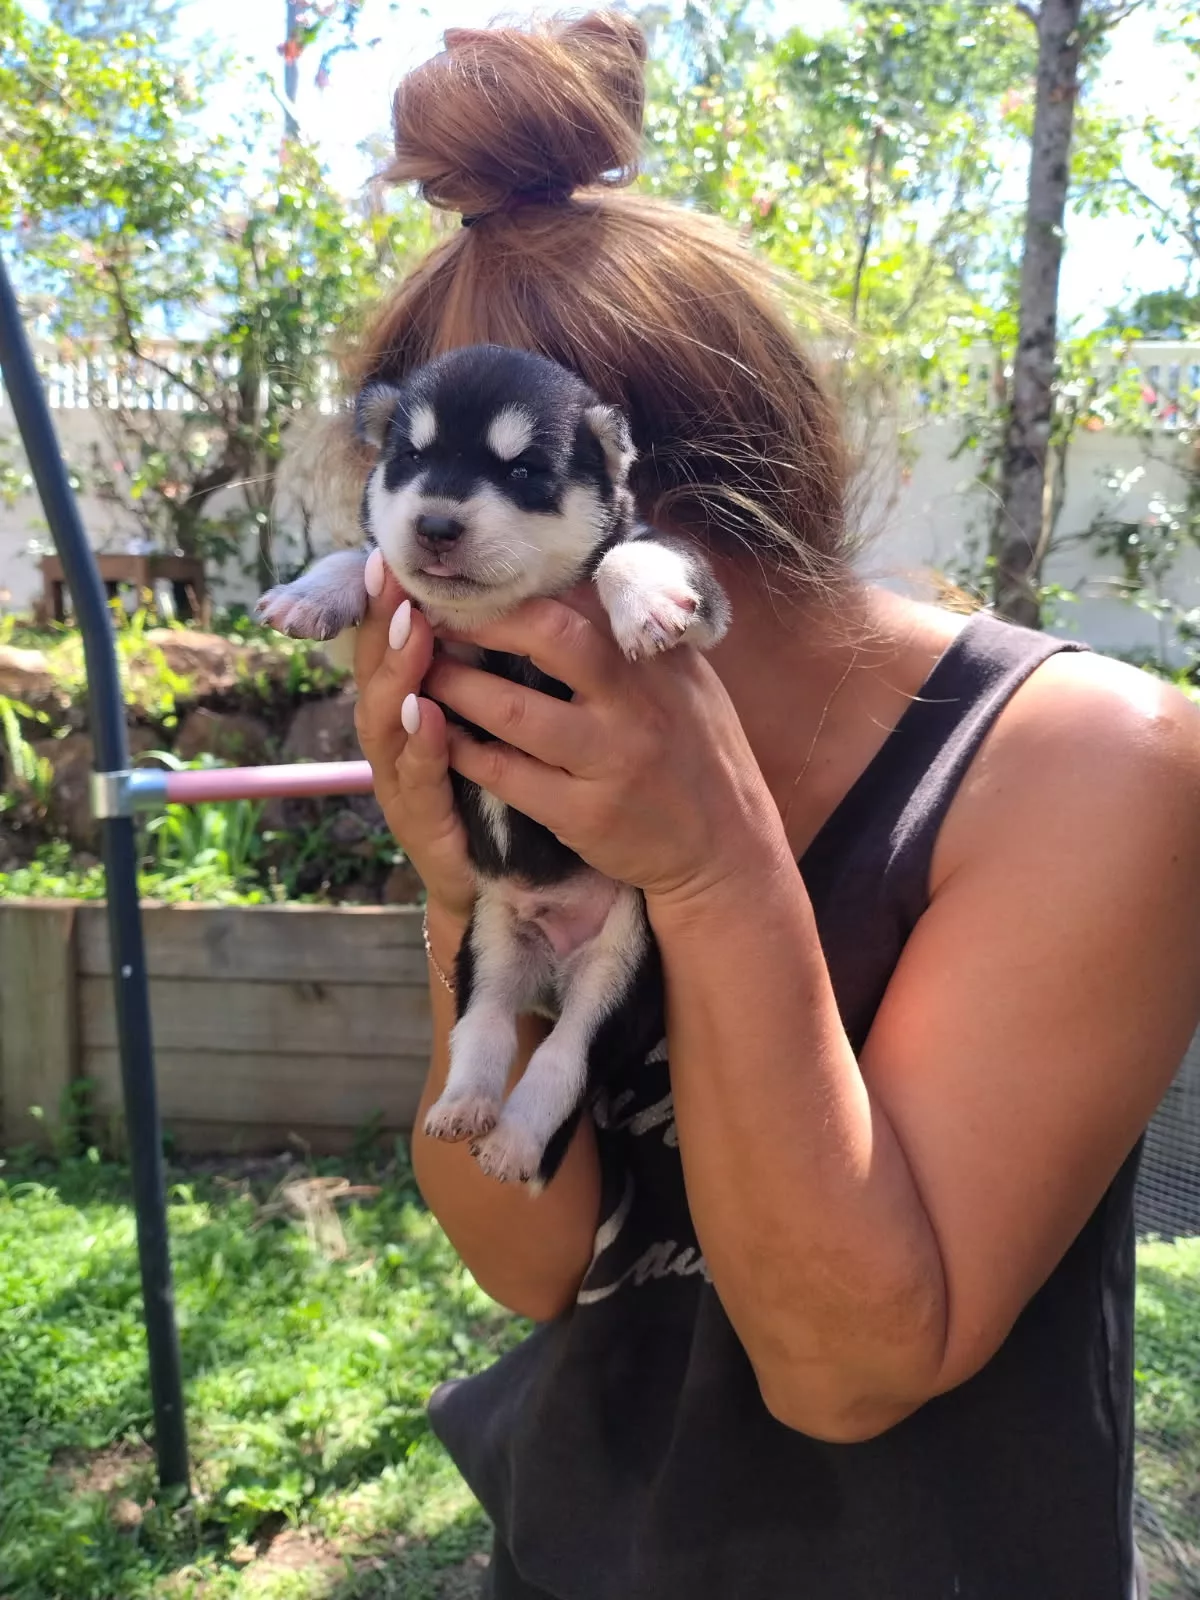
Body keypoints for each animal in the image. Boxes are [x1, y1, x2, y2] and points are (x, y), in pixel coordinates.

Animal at [258, 344, 730, 1186]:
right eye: (411, 459)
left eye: (524, 473)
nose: (437, 522)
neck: (487, 621)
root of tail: (554, 935)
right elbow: (370, 560)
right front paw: (312, 592)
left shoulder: (699, 596)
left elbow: (635, 550)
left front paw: (644, 601)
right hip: (490, 942)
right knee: (483, 1030)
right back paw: (463, 1107)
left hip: (619, 966)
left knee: (562, 1060)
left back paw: (512, 1142)